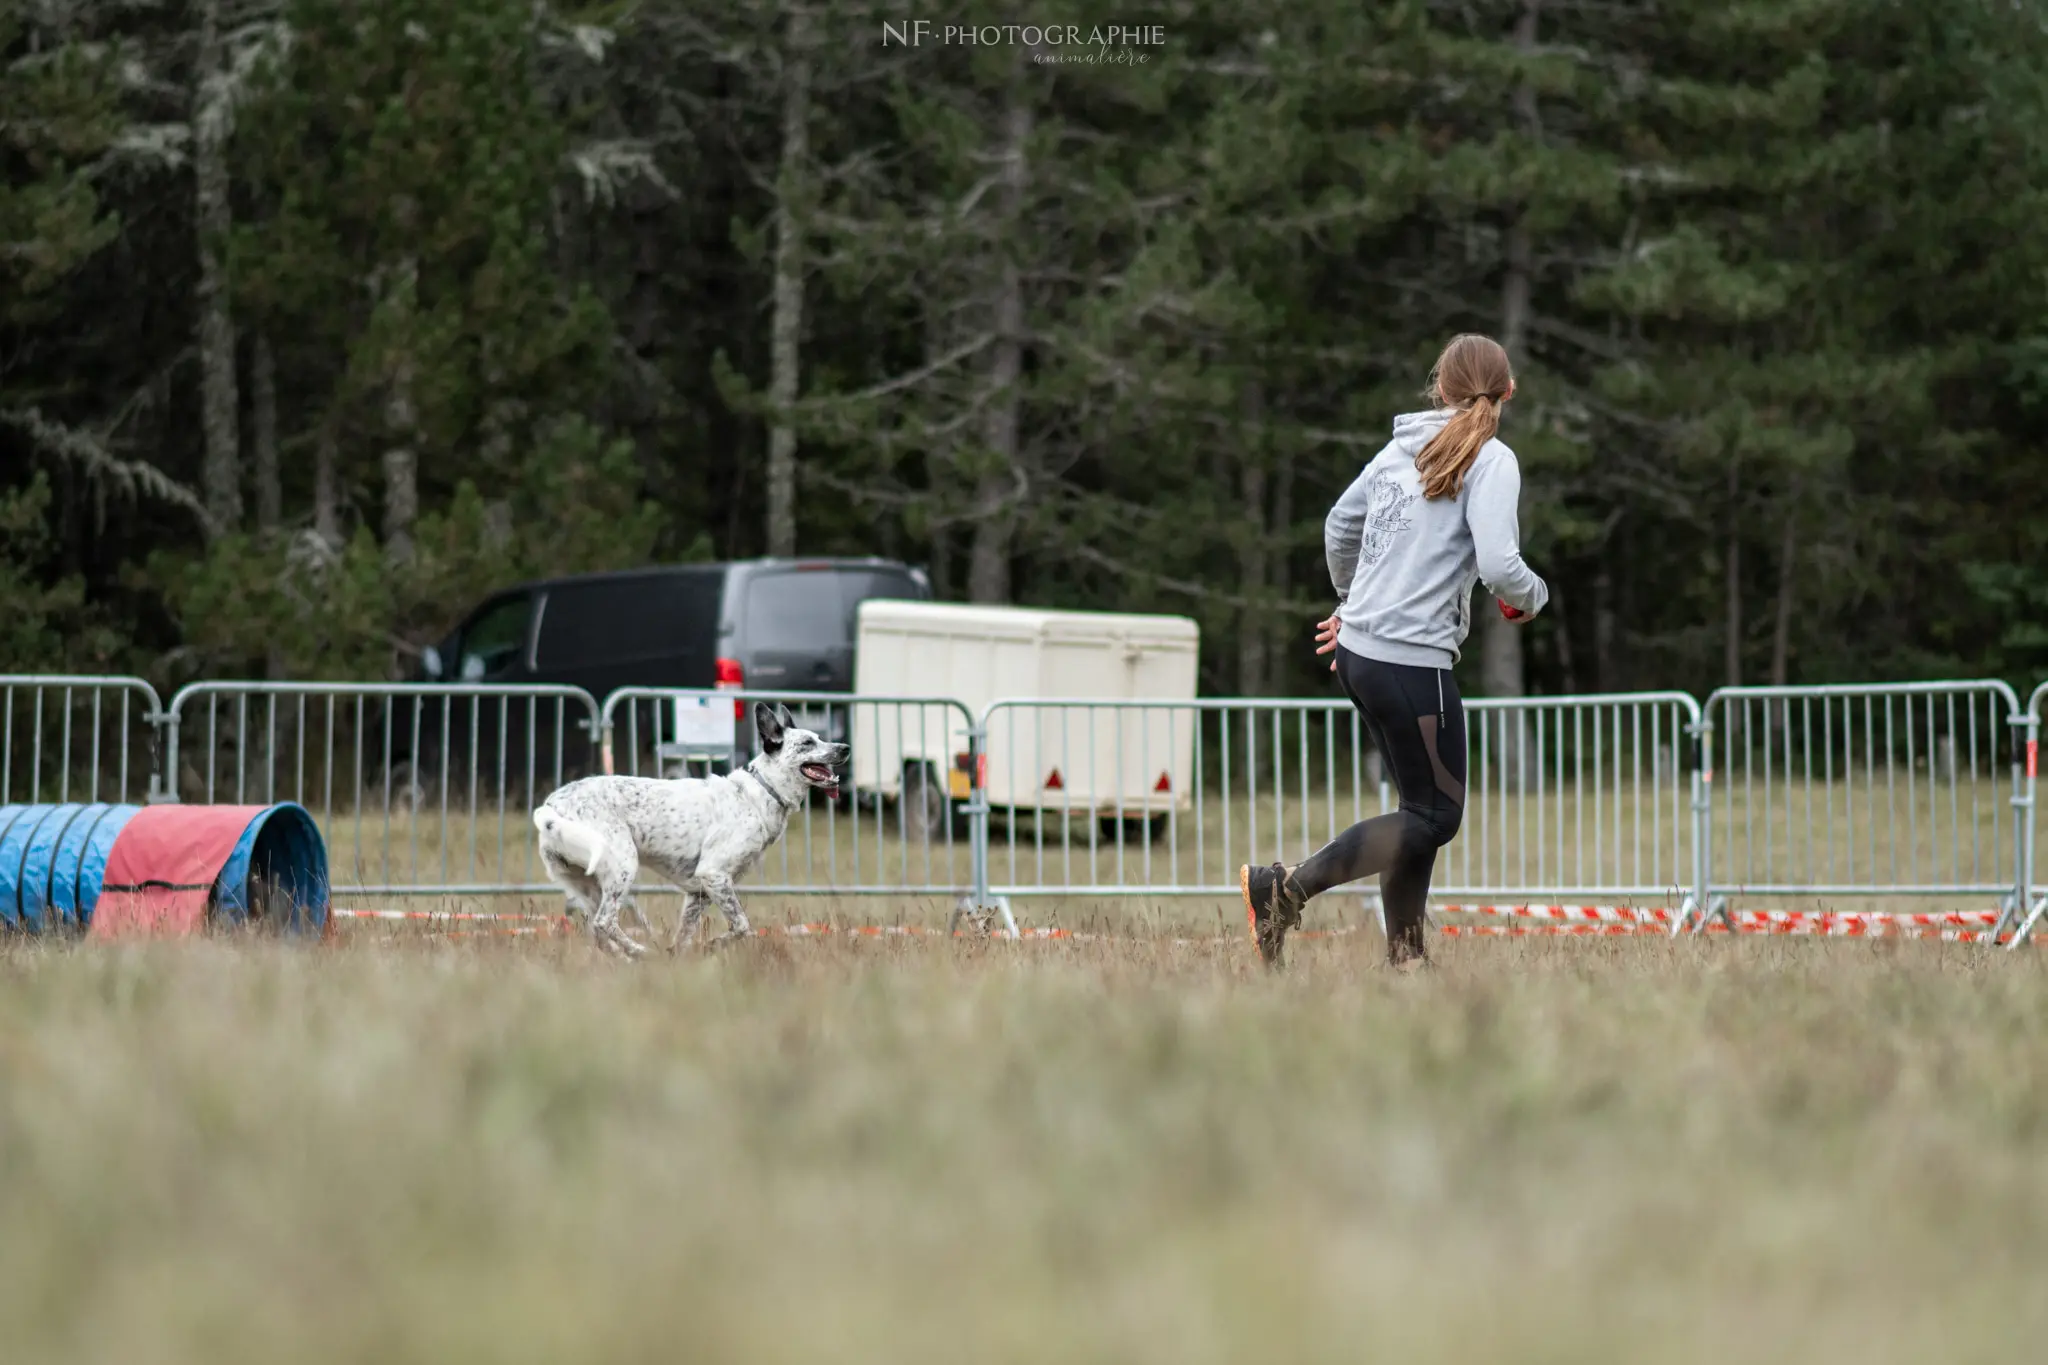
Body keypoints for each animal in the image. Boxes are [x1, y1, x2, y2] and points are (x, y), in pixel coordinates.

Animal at [536, 699, 847, 957]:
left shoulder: (699, 893)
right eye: (807, 742)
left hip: (589, 887)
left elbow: (685, 937)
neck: (759, 791)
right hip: (623, 868)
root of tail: (551, 805)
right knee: (604, 923)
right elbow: (742, 927)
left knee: (598, 931)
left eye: (820, 738)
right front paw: (713, 945)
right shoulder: (715, 876)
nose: (845, 748)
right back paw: (640, 952)